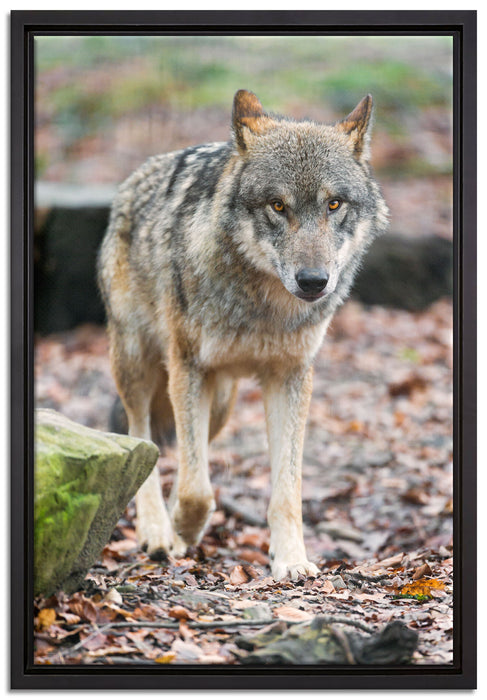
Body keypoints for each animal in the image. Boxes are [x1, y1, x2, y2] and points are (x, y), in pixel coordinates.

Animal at [97, 89, 389, 580]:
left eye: (333, 205)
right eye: (278, 205)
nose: (314, 281)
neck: (263, 308)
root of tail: (134, 179)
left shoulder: (290, 378)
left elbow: (286, 491)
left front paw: (291, 560)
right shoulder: (187, 367)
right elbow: (197, 491)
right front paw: (182, 529)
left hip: (220, 404)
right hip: (139, 366)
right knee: (143, 440)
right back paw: (157, 531)